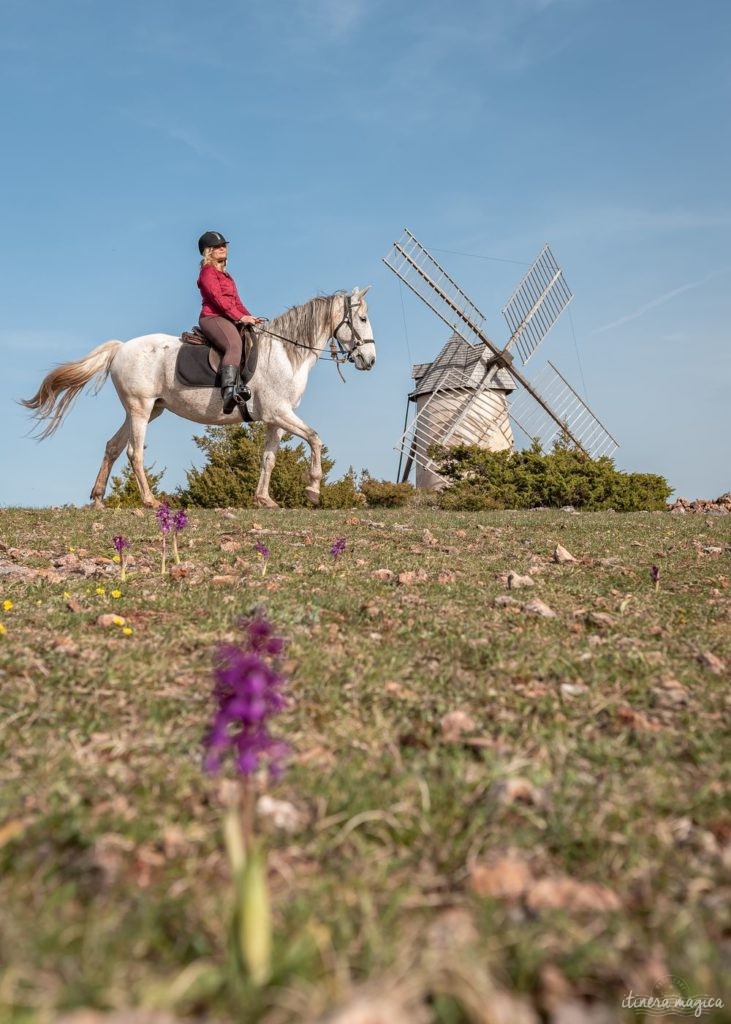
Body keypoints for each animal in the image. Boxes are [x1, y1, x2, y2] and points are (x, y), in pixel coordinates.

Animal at [22, 286, 376, 509]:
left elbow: (269, 459)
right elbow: (315, 438)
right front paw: (313, 489)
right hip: (140, 409)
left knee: (113, 446)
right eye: (361, 319)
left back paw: (97, 499)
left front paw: (265, 499)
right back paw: (149, 501)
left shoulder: (274, 419)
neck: (286, 354)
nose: (370, 361)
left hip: (149, 410)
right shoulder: (280, 413)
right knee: (134, 453)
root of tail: (121, 348)